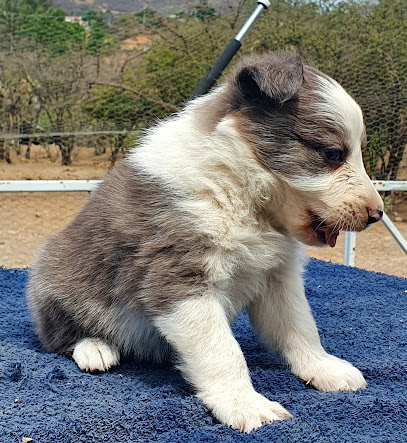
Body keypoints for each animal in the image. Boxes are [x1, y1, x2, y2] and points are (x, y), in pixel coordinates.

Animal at [27, 51, 384, 434]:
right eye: (332, 154)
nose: (377, 214)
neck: (242, 191)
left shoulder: (277, 277)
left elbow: (300, 326)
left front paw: (324, 368)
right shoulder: (181, 278)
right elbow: (223, 351)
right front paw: (246, 406)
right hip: (54, 274)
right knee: (56, 335)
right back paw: (94, 348)